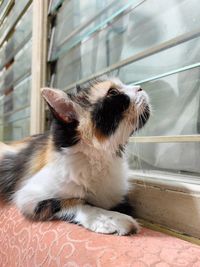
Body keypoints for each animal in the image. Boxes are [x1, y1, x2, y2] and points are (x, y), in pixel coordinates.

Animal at [0, 76, 150, 236]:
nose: (140, 87)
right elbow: (77, 201)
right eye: (113, 92)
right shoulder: (28, 196)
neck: (100, 159)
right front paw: (112, 219)